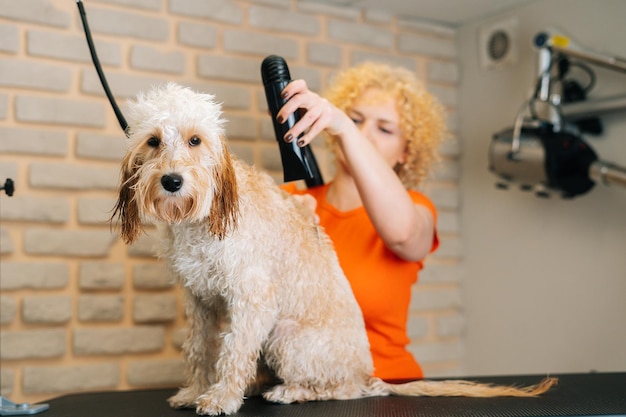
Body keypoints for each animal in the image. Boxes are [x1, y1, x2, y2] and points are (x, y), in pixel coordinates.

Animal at [112, 83, 556, 414]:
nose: (171, 181)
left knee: (337, 389)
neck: (199, 223)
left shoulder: (252, 300)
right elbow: (198, 349)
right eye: (153, 141)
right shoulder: (200, 302)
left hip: (285, 337)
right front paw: (194, 391)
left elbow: (234, 352)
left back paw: (287, 390)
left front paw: (221, 396)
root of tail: (367, 375)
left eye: (195, 139)